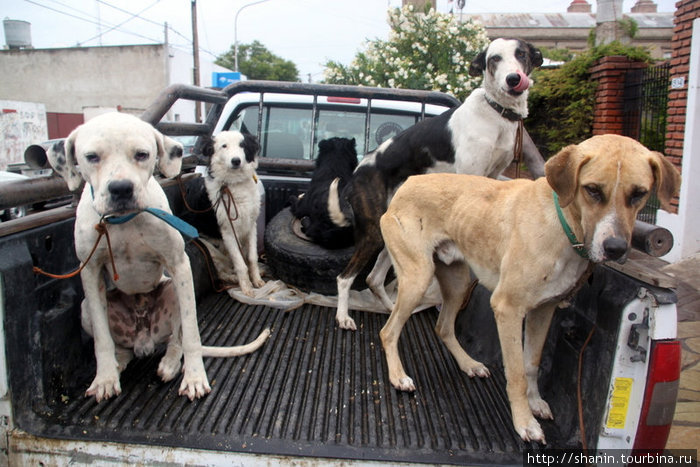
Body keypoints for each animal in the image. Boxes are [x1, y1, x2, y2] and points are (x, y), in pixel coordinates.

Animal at [205, 131, 268, 296]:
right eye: (224, 146)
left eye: (242, 145)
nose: (236, 161)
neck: (235, 184)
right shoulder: (228, 233)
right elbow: (240, 264)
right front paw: (246, 287)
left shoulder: (251, 226)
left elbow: (252, 258)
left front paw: (256, 279)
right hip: (210, 249)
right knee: (219, 271)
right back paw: (233, 278)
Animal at [330, 37, 544, 330]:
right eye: (494, 59)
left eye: (521, 54)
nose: (513, 79)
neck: (496, 113)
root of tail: (357, 173)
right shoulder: (470, 174)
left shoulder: (492, 175)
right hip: (373, 232)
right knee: (345, 278)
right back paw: (343, 316)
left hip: (391, 232)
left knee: (374, 279)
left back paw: (392, 310)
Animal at [380, 135, 680, 446]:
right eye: (593, 190)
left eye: (639, 193)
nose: (616, 248)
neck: (561, 223)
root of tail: (409, 183)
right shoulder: (508, 309)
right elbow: (516, 374)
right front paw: (524, 422)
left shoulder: (543, 310)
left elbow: (531, 364)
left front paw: (535, 403)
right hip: (417, 279)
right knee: (388, 332)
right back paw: (398, 376)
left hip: (457, 281)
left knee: (443, 327)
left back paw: (468, 363)